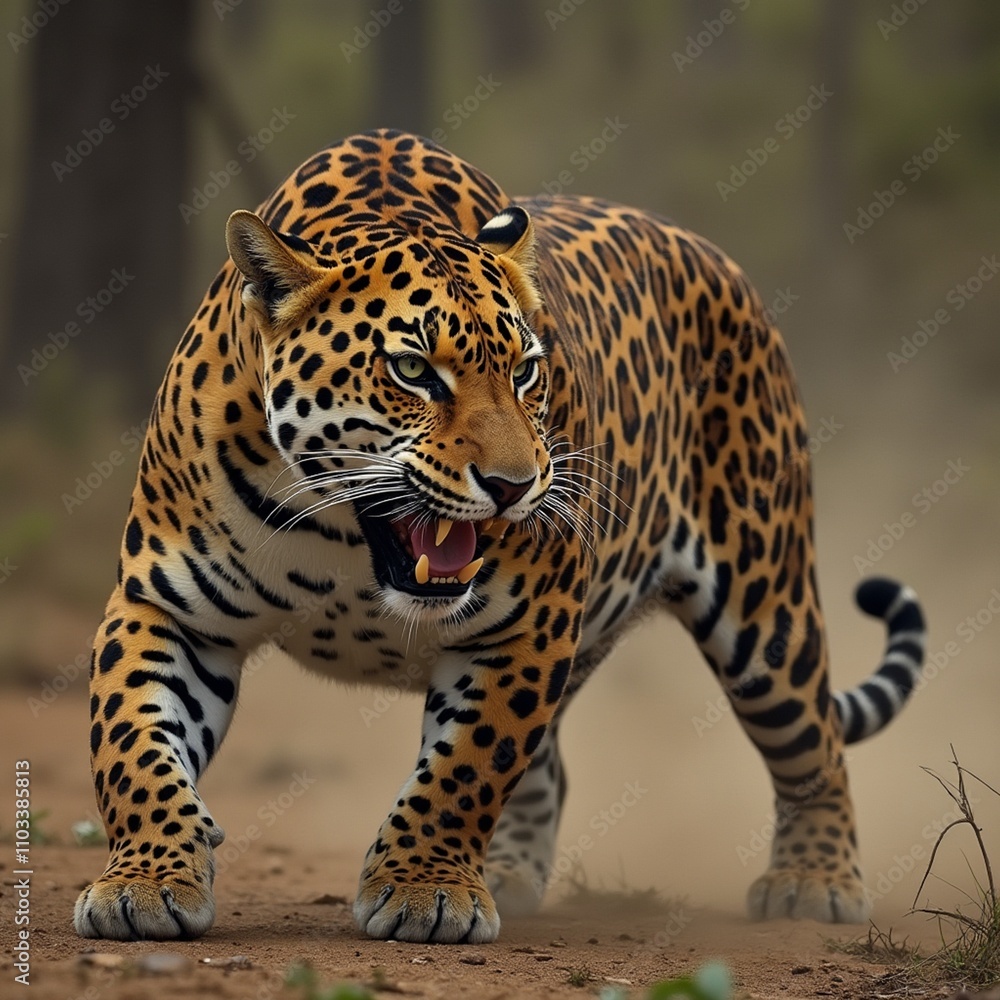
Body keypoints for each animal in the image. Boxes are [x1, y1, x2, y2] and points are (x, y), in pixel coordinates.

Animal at [74, 129, 926, 944]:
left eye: (524, 371)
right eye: (414, 370)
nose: (515, 487)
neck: (341, 536)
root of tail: (716, 257)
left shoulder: (530, 624)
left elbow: (467, 766)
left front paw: (424, 892)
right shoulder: (165, 607)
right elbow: (133, 748)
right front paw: (146, 881)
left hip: (765, 604)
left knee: (814, 744)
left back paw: (814, 883)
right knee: (552, 769)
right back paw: (512, 873)